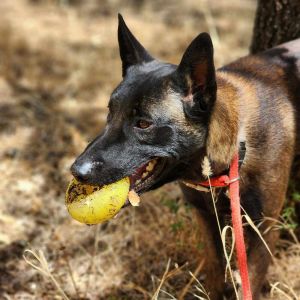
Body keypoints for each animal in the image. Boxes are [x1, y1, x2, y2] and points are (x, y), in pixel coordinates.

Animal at [71, 14, 300, 300]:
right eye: (110, 113)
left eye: (143, 124)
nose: (77, 171)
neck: (238, 143)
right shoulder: (207, 220)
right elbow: (216, 274)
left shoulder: (262, 231)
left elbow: (251, 283)